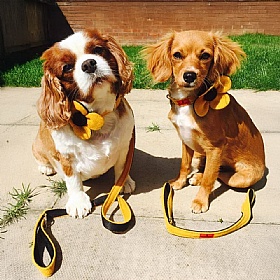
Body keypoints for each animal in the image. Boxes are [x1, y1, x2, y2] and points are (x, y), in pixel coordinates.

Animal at [32, 30, 136, 219]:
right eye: (67, 67)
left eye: (97, 50)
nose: (88, 64)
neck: (96, 114)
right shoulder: (66, 157)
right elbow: (73, 180)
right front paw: (78, 202)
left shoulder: (125, 146)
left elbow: (121, 166)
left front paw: (123, 182)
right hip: (37, 145)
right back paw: (46, 167)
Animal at [143, 30, 266, 213]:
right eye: (177, 55)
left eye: (205, 56)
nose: (189, 75)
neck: (191, 100)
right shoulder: (185, 140)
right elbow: (184, 165)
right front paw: (179, 182)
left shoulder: (215, 148)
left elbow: (210, 177)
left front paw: (200, 201)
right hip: (200, 155)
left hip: (243, 177)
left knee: (222, 174)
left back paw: (200, 178)